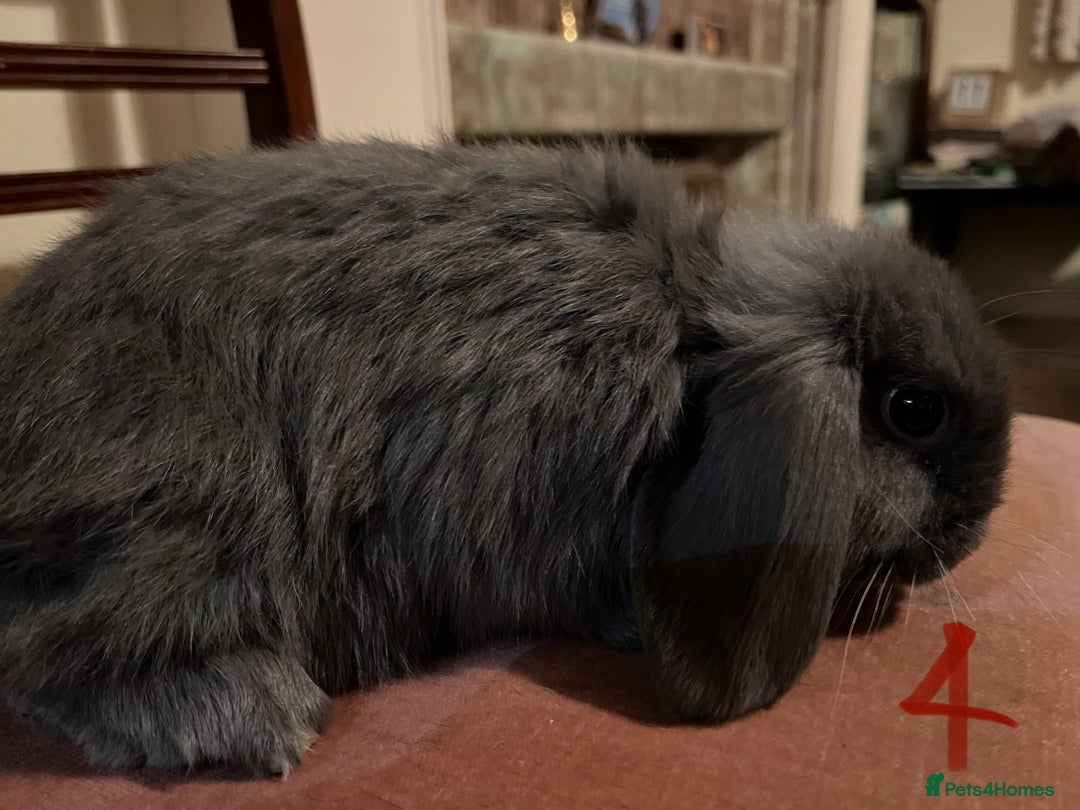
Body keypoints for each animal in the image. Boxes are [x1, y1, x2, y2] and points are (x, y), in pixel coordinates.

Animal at [0, 138, 1010, 776]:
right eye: (913, 411)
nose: (971, 536)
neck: (683, 345)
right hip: (187, 497)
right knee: (54, 654)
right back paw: (256, 715)